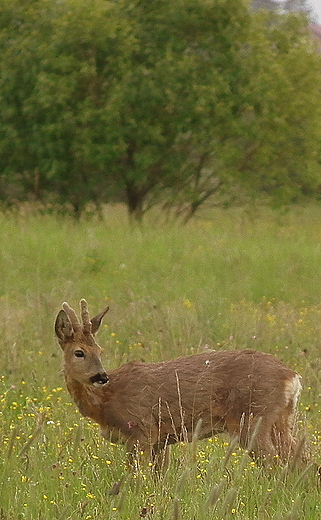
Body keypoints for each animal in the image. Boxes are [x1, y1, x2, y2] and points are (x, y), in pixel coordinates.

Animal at [53, 298, 302, 466]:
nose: (101, 376)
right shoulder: (160, 442)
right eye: (79, 352)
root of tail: (292, 377)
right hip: (281, 419)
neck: (105, 403)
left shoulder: (141, 431)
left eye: (99, 350)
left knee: (276, 464)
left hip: (252, 419)